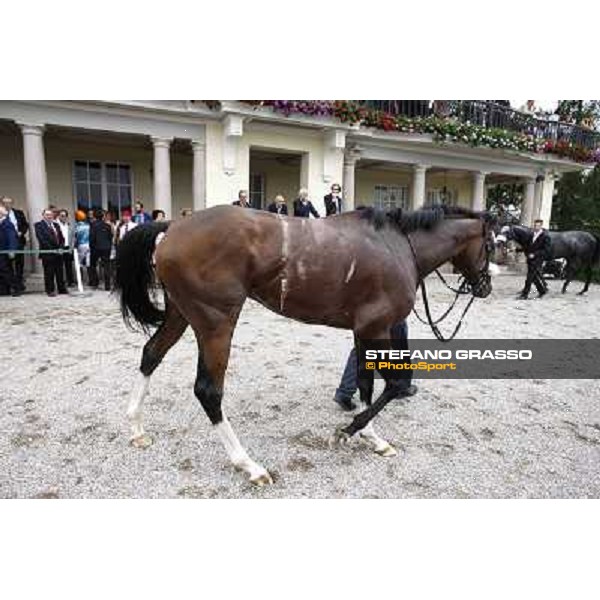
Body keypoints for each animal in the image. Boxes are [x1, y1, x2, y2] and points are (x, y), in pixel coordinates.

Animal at [115, 204, 494, 486]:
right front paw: (348, 431)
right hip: (215, 322)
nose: (485, 286)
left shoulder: (363, 329)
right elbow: (395, 384)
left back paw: (136, 427)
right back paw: (248, 464)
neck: (397, 245)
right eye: (493, 243)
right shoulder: (378, 326)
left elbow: (366, 382)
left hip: (180, 313)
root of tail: (173, 227)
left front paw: (371, 436)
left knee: (151, 354)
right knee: (208, 390)